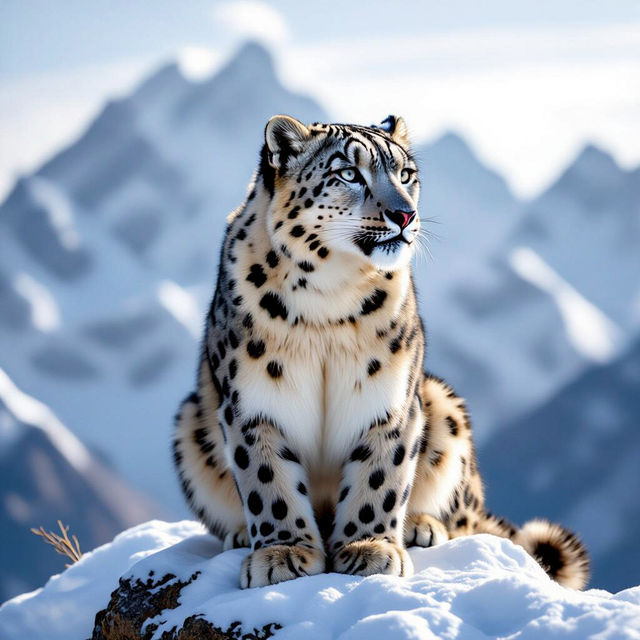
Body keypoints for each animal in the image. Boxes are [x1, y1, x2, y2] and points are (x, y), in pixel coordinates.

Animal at [173, 115, 589, 590]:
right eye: (348, 173)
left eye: (406, 174)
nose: (405, 214)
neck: (327, 296)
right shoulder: (252, 404)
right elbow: (268, 481)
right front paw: (283, 553)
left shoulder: (388, 398)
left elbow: (380, 475)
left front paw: (368, 549)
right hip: (191, 420)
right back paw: (241, 534)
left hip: (443, 407)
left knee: (465, 519)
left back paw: (421, 526)